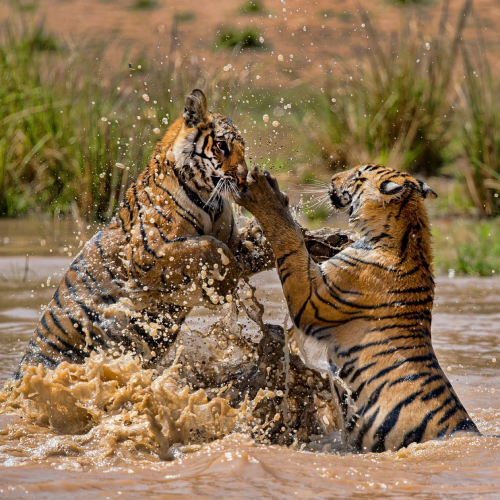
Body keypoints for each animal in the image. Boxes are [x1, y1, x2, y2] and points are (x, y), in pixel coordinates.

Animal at [14, 89, 274, 378]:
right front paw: (224, 287)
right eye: (221, 146)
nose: (242, 179)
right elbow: (209, 246)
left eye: (243, 149)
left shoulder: (231, 240)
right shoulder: (146, 254)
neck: (210, 199)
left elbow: (242, 248)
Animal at [236, 165, 478, 454]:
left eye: (356, 175)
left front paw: (265, 192)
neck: (407, 234)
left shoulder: (310, 299)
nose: (332, 178)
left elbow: (290, 242)